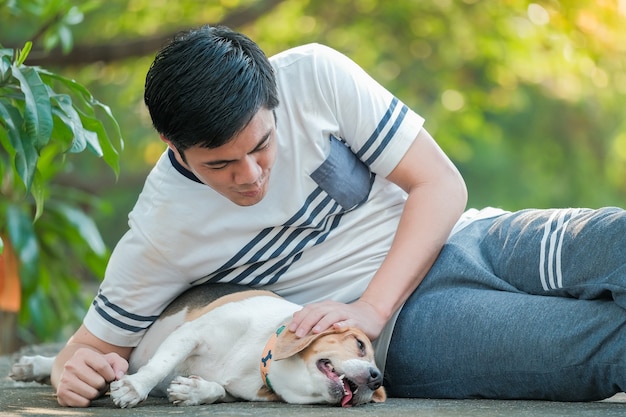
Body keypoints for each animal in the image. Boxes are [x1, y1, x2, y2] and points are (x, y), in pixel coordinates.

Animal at [11, 282, 386, 406]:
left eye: (378, 387)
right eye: (359, 344)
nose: (376, 377)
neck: (258, 358)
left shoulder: (236, 390)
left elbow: (218, 390)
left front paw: (193, 392)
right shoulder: (191, 334)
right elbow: (159, 366)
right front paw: (134, 388)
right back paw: (33, 366)